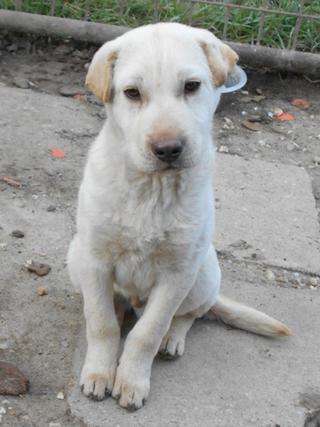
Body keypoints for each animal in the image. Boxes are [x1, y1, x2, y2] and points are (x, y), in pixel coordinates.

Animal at [67, 22, 290, 412]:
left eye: (191, 86)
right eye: (132, 93)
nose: (168, 149)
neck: (152, 190)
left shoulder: (177, 273)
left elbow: (148, 332)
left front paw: (131, 381)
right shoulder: (94, 261)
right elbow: (101, 323)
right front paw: (99, 372)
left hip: (204, 271)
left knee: (191, 313)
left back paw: (173, 339)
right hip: (74, 256)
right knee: (116, 308)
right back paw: (121, 310)